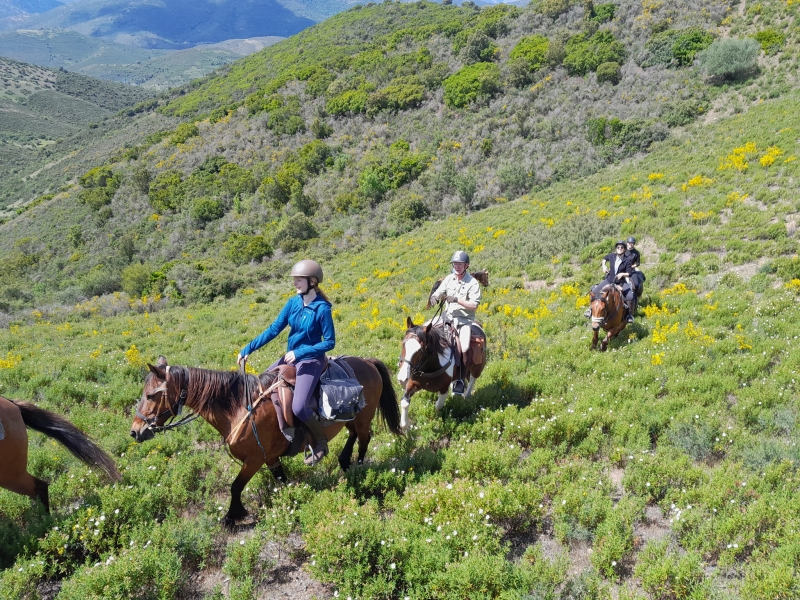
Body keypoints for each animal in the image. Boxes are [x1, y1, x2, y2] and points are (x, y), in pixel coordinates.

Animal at [134, 356, 404, 524]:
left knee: (364, 438)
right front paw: (289, 501)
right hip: (351, 419)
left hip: (363, 418)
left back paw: (358, 468)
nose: (135, 431)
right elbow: (281, 480)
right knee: (353, 434)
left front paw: (233, 516)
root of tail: (367, 362)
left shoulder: (254, 460)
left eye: (151, 395)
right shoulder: (271, 458)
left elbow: (235, 487)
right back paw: (345, 461)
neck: (238, 409)